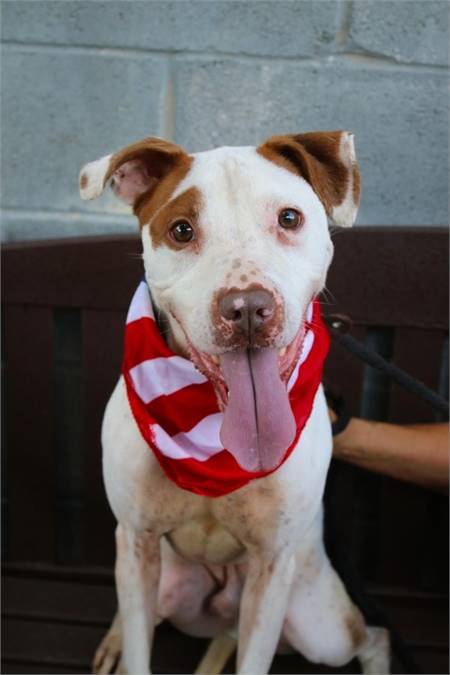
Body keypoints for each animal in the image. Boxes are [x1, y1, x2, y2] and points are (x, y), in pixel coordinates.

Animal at [79, 133, 388, 675]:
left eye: (290, 217)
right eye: (181, 230)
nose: (247, 307)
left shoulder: (272, 566)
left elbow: (254, 658)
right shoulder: (137, 541)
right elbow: (138, 648)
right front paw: (124, 646)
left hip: (319, 625)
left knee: (373, 636)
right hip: (162, 583)